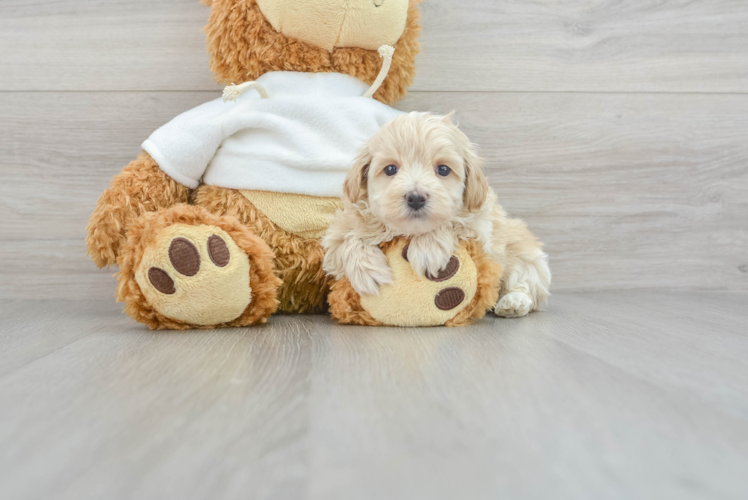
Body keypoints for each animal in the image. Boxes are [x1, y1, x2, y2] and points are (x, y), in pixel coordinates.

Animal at [322, 112, 548, 316]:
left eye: (444, 170)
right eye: (390, 169)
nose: (415, 198)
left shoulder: (481, 230)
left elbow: (451, 223)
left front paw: (427, 249)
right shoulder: (338, 232)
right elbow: (348, 241)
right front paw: (369, 271)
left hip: (523, 253)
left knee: (526, 281)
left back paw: (514, 302)